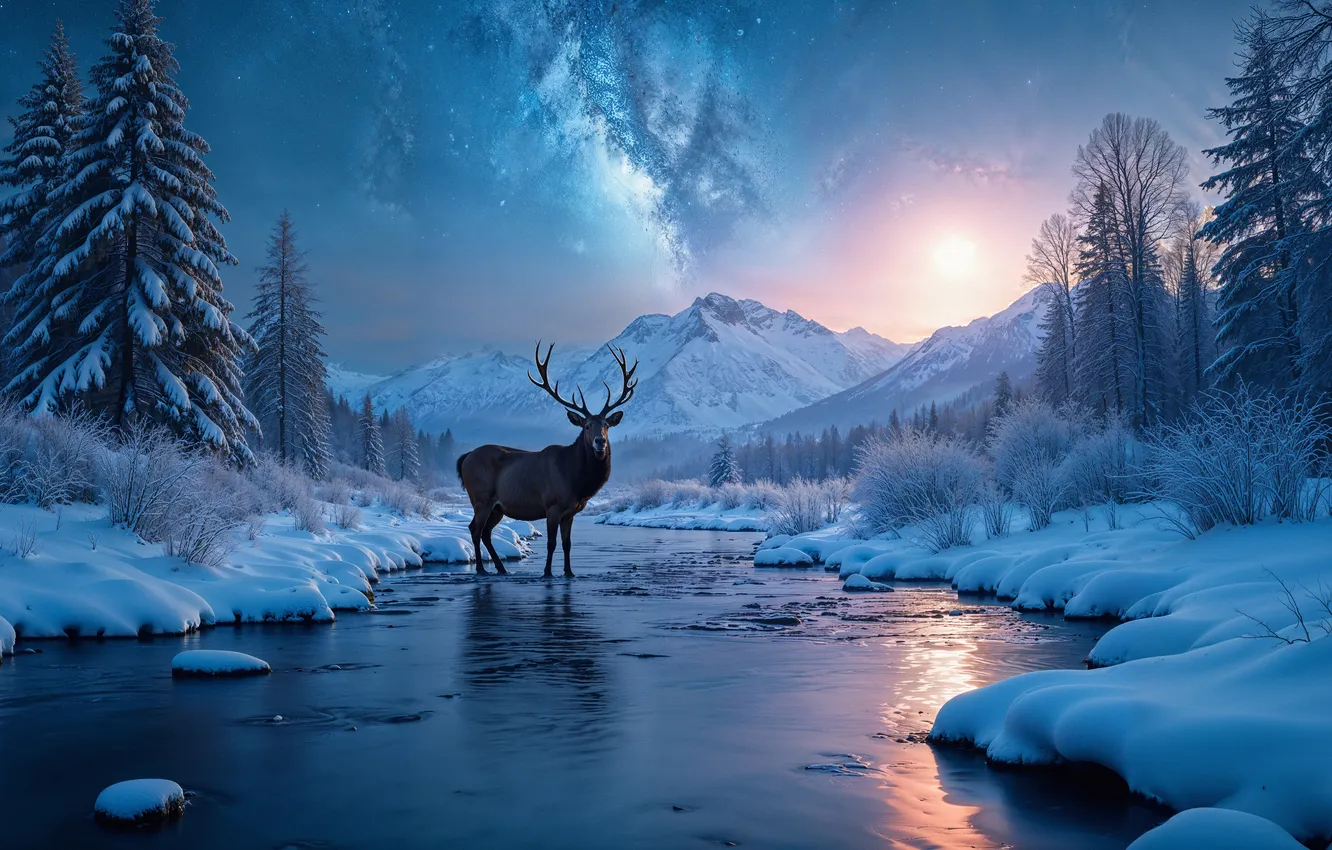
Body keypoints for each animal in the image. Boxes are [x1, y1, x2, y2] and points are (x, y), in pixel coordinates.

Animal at [456, 343, 638, 577]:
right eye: (587, 426)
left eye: (606, 425)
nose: (600, 442)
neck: (577, 483)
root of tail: (465, 458)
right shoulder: (552, 505)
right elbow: (552, 543)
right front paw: (548, 572)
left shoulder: (570, 512)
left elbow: (567, 544)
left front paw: (569, 572)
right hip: (481, 497)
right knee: (475, 529)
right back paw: (480, 568)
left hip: (497, 507)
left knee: (486, 532)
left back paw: (502, 568)